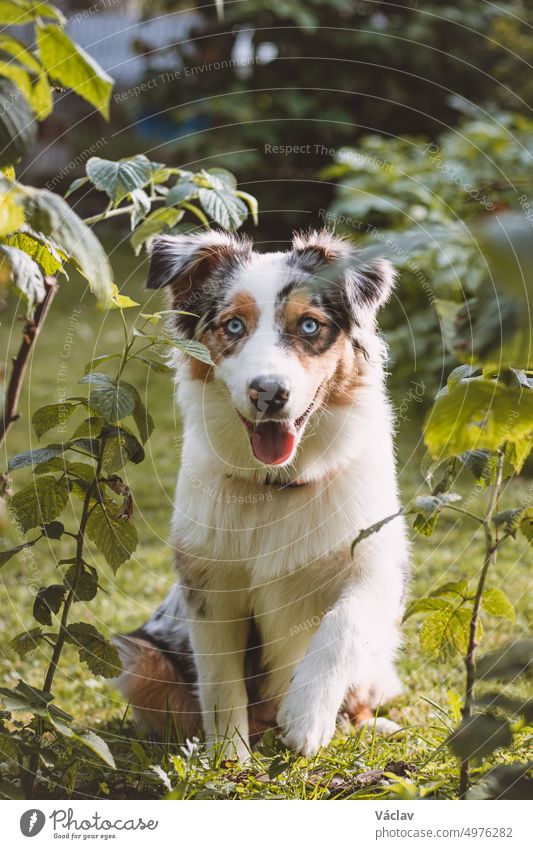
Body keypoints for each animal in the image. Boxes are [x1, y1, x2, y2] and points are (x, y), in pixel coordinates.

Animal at [115, 225, 408, 756]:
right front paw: (229, 758)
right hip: (144, 659)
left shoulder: (379, 564)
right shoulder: (209, 584)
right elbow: (220, 683)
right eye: (233, 326)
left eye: (310, 326)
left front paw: (308, 718)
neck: (278, 485)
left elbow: (343, 623)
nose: (269, 392)